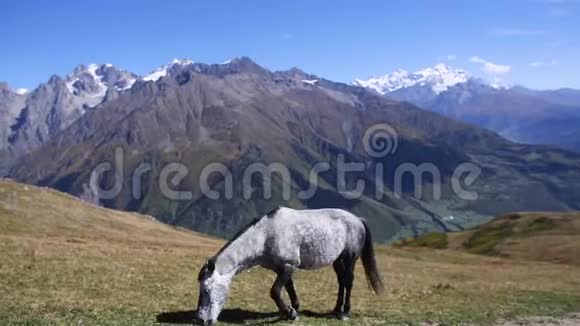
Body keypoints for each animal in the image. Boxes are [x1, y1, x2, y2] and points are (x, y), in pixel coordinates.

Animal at [195, 206, 386, 324]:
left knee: (348, 281)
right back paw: (336, 309)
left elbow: (275, 291)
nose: (200, 320)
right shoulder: (281, 268)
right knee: (341, 282)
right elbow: (288, 288)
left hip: (350, 258)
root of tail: (357, 220)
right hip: (337, 260)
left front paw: (290, 312)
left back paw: (344, 312)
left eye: (206, 290)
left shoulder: (288, 266)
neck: (265, 236)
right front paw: (293, 310)